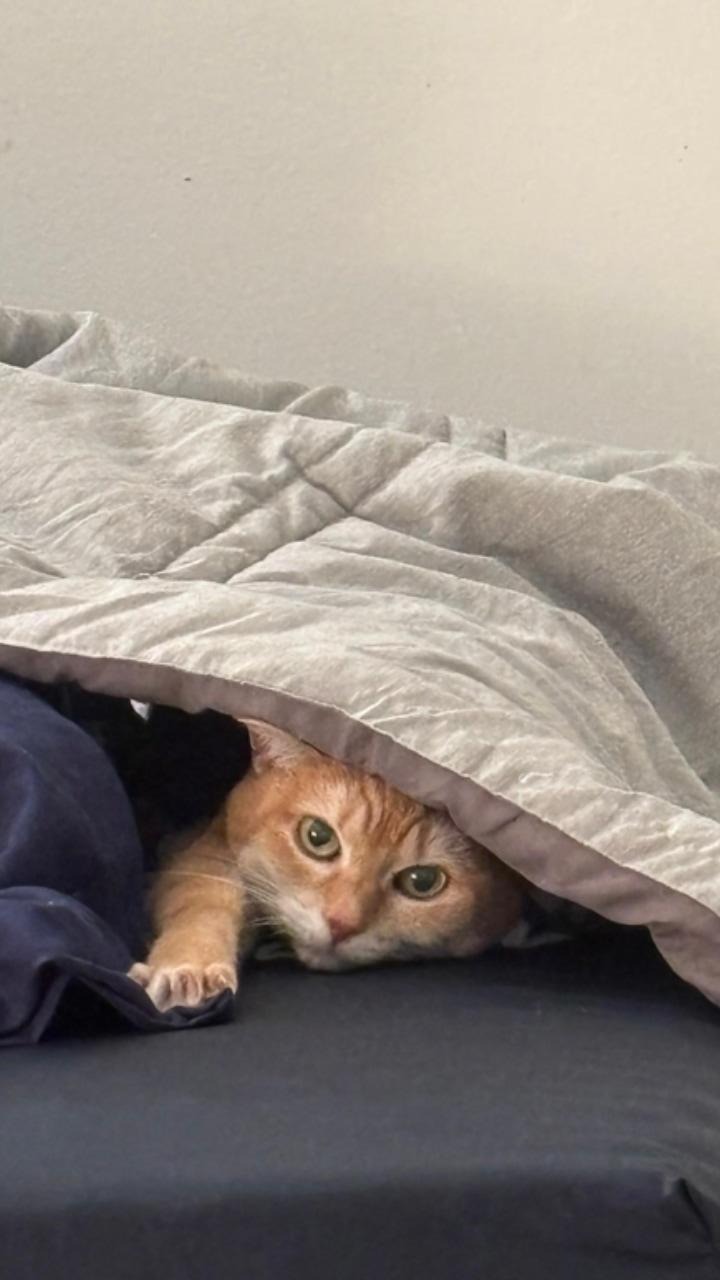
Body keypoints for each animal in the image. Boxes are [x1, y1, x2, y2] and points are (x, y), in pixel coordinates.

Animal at [129, 719, 525, 1011]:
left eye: (423, 881)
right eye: (317, 836)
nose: (341, 924)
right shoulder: (207, 851)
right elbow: (204, 900)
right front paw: (188, 969)